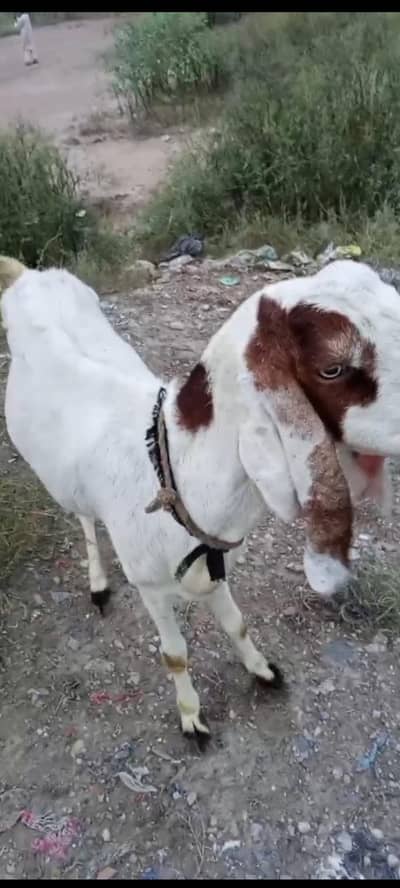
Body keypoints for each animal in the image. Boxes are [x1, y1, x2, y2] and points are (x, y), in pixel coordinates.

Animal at [1, 257, 399, 742]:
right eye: (332, 369)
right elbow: (174, 653)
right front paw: (191, 716)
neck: (174, 473)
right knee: (83, 517)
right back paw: (97, 582)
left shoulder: (215, 567)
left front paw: (261, 670)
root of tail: (29, 275)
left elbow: (236, 623)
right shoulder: (151, 587)